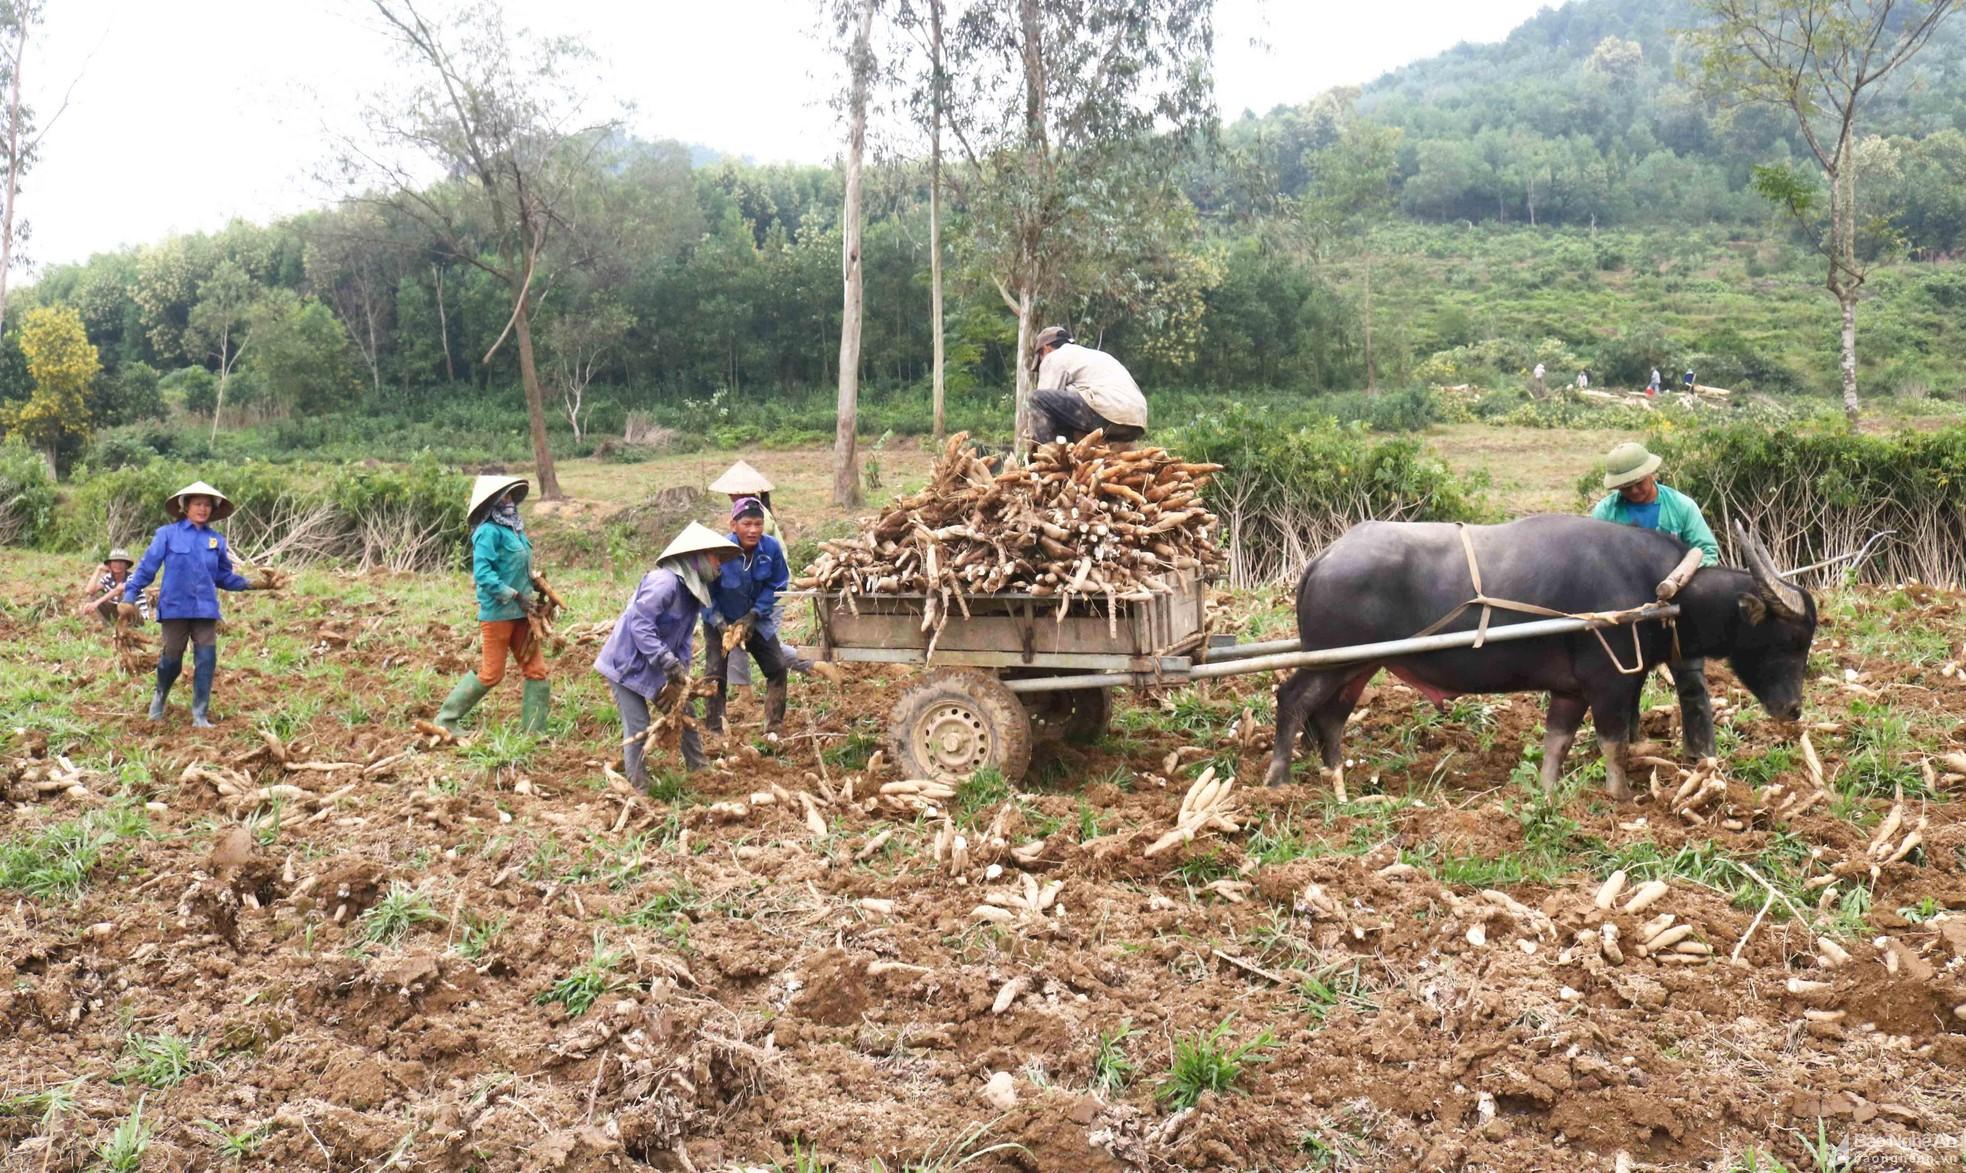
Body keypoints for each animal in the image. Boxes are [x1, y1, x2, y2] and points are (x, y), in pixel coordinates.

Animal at [1266, 518, 1816, 801]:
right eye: (1790, 639)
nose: (1793, 709)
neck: (1660, 591)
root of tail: (1325, 558)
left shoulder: (1570, 690)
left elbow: (1557, 743)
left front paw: (1548, 795)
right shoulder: (1610, 684)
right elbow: (1613, 744)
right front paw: (1620, 799)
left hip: (1358, 666)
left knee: (1331, 716)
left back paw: (1337, 781)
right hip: (1331, 660)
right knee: (1291, 698)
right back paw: (1278, 780)